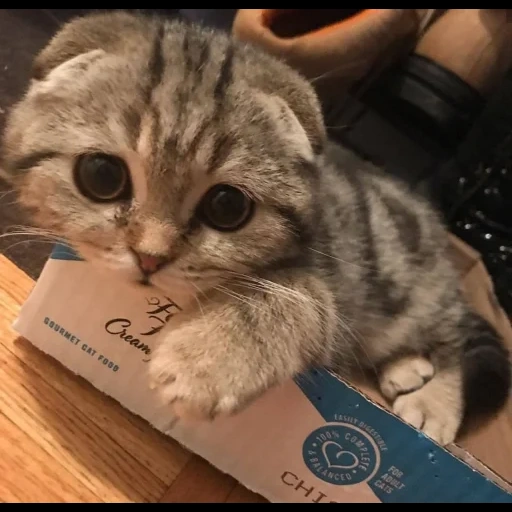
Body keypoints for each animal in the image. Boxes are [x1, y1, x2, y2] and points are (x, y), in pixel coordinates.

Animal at [2, 10, 510, 446]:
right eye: (102, 176)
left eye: (227, 207)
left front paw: (207, 361)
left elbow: (295, 297)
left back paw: (434, 401)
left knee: (454, 338)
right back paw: (404, 369)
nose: (150, 257)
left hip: (412, 290)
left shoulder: (335, 285)